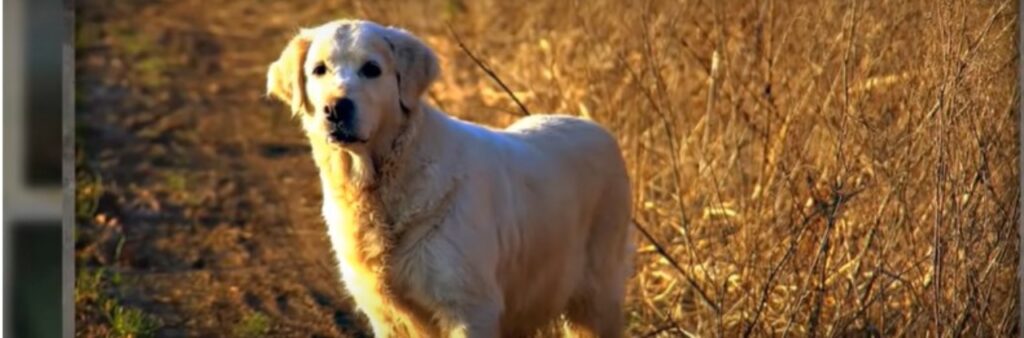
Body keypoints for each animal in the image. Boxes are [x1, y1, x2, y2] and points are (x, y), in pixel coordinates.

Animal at [264, 19, 630, 335]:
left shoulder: (469, 309)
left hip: (597, 300)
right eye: (319, 70)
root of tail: (597, 127)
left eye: (371, 69)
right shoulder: (385, 316)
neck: (384, 182)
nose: (336, 109)